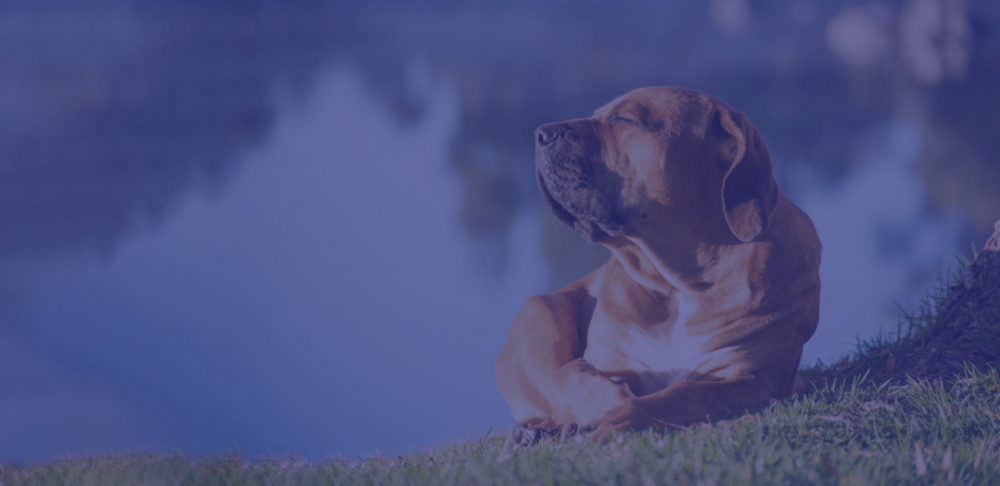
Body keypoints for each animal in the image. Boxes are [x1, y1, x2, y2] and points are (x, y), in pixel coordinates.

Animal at [494, 86, 820, 440]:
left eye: (625, 119)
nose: (541, 133)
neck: (678, 283)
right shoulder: (607, 359)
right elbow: (571, 377)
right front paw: (606, 399)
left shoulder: (754, 378)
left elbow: (683, 395)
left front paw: (622, 416)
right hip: (539, 313)